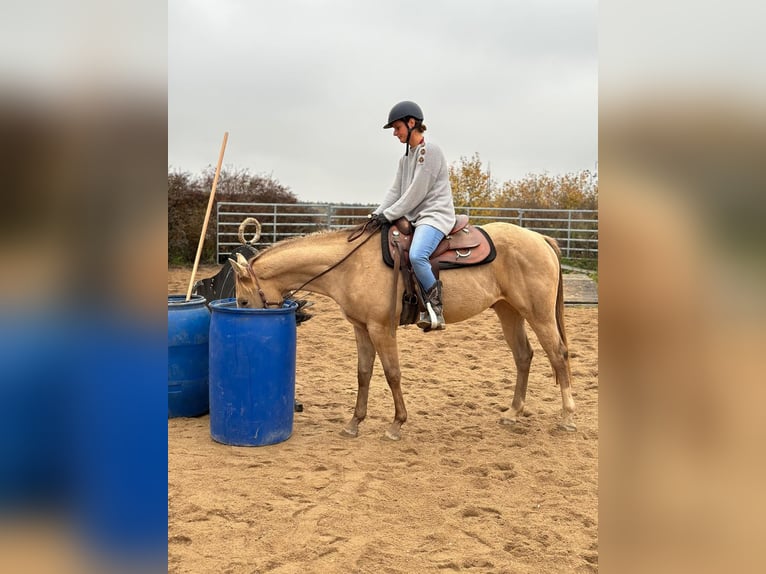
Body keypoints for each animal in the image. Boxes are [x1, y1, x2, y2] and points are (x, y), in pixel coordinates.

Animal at [228, 221, 576, 441]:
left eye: (243, 300)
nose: (241, 317)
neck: (349, 266)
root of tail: (540, 239)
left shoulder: (382, 328)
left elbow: (392, 373)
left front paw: (396, 425)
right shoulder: (361, 328)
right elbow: (363, 373)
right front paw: (354, 423)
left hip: (539, 314)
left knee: (558, 355)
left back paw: (567, 418)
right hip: (509, 312)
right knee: (524, 356)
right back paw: (513, 412)